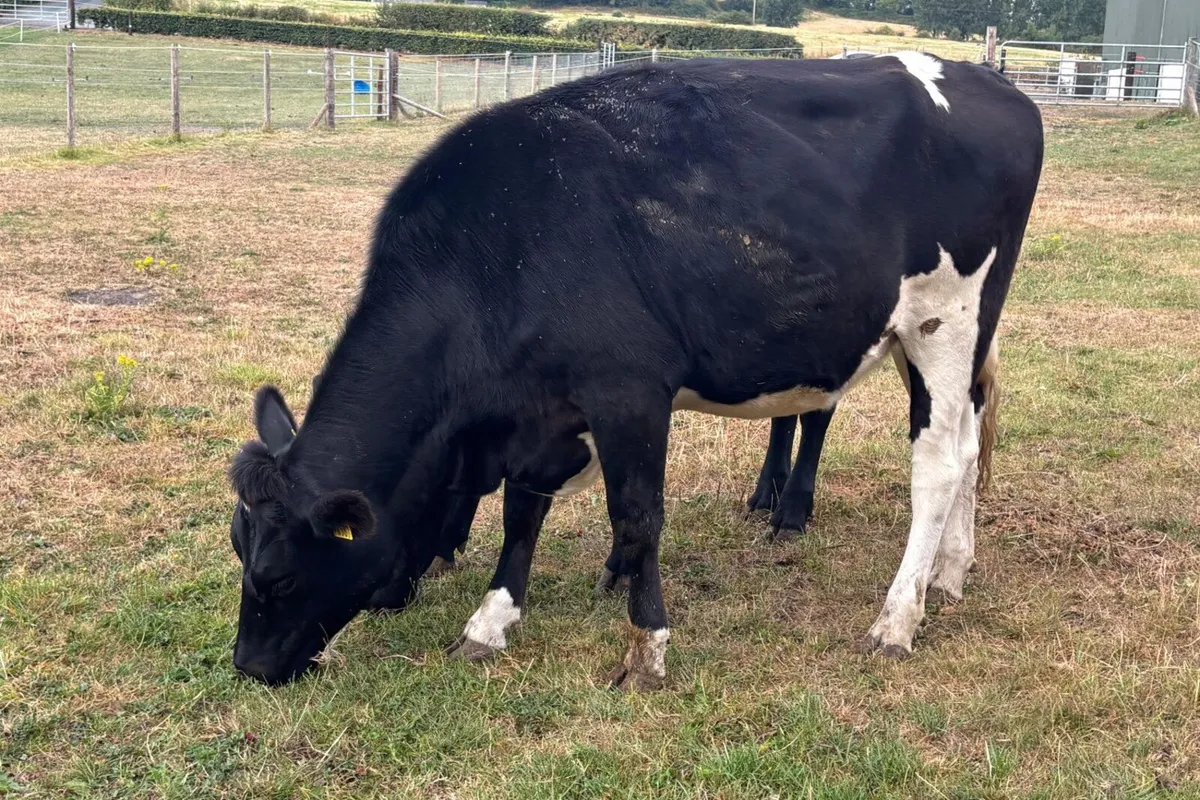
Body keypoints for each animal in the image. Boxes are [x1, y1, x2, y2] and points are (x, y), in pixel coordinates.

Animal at [227, 53, 1042, 688]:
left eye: (279, 577)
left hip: (946, 319)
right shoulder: (545, 413)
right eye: (239, 548)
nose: (249, 666)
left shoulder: (630, 391)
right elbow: (523, 511)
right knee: (969, 442)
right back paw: (950, 571)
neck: (503, 244)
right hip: (938, 337)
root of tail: (991, 83)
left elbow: (639, 514)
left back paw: (899, 614)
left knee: (939, 461)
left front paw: (646, 646)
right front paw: (491, 620)